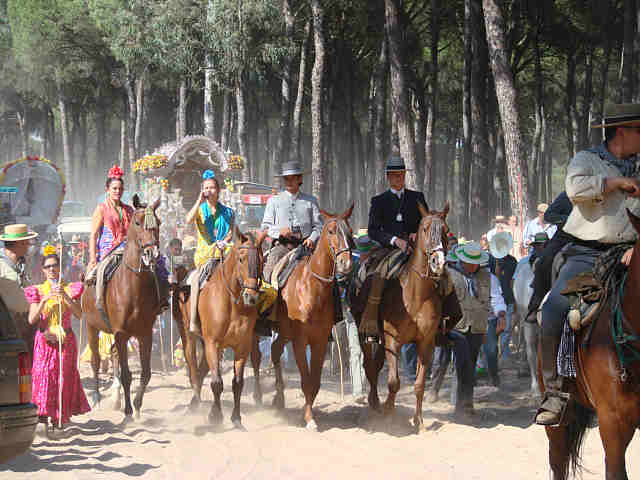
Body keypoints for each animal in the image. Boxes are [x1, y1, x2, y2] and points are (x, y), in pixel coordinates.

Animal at [81, 195, 164, 418]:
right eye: (137, 223)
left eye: (159, 223)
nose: (151, 253)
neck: (133, 287)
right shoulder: (121, 333)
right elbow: (127, 374)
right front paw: (128, 410)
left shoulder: (144, 333)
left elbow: (145, 373)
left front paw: (136, 405)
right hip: (92, 327)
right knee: (96, 360)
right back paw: (97, 398)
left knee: (114, 355)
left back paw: (116, 398)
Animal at [178, 229, 266, 429]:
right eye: (241, 258)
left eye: (261, 260)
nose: (251, 297)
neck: (232, 301)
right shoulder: (213, 342)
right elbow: (217, 382)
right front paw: (216, 416)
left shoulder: (242, 346)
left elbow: (238, 382)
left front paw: (236, 418)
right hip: (188, 335)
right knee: (194, 369)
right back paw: (196, 404)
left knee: (202, 369)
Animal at [270, 204, 354, 430]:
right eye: (331, 231)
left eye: (350, 232)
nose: (345, 264)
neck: (311, 288)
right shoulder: (300, 341)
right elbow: (305, 380)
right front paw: (308, 419)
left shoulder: (320, 341)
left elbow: (314, 382)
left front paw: (309, 414)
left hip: (284, 333)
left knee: (275, 351)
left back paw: (279, 398)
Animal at [358, 203, 449, 431]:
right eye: (425, 229)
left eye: (446, 230)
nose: (438, 262)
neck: (415, 295)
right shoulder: (393, 340)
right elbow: (393, 382)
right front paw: (389, 417)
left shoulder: (426, 343)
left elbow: (419, 384)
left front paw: (420, 421)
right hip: (363, 331)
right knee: (370, 366)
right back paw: (374, 404)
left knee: (376, 365)